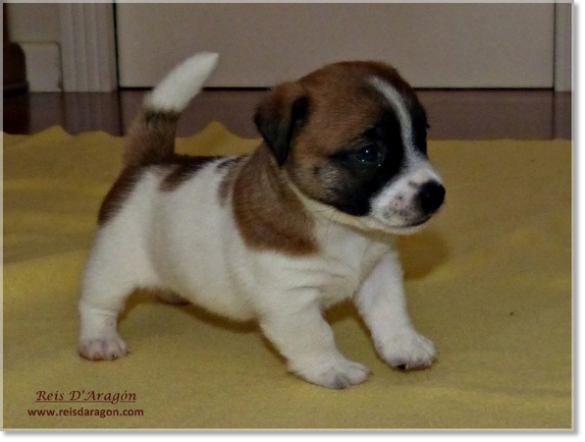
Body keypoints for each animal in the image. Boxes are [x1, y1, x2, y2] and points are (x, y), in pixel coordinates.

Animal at [76, 52, 442, 390]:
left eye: (421, 137)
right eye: (369, 153)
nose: (435, 193)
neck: (339, 226)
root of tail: (150, 163)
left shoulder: (379, 272)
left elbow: (391, 313)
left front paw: (405, 346)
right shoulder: (290, 298)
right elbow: (316, 335)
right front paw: (333, 369)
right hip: (113, 266)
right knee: (97, 304)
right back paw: (99, 340)